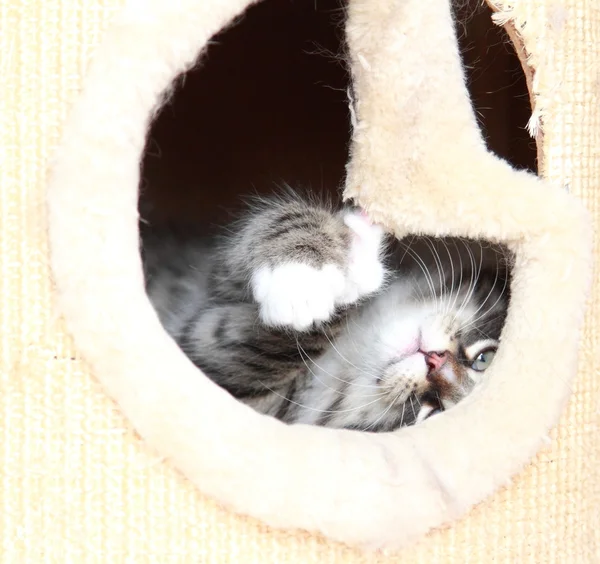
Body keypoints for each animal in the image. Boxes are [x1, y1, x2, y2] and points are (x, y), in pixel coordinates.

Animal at [142, 196, 510, 430]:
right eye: (485, 357)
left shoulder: (233, 380)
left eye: (431, 413)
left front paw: (341, 273)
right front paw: (309, 265)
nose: (435, 362)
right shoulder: (217, 271)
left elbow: (266, 345)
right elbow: (278, 222)